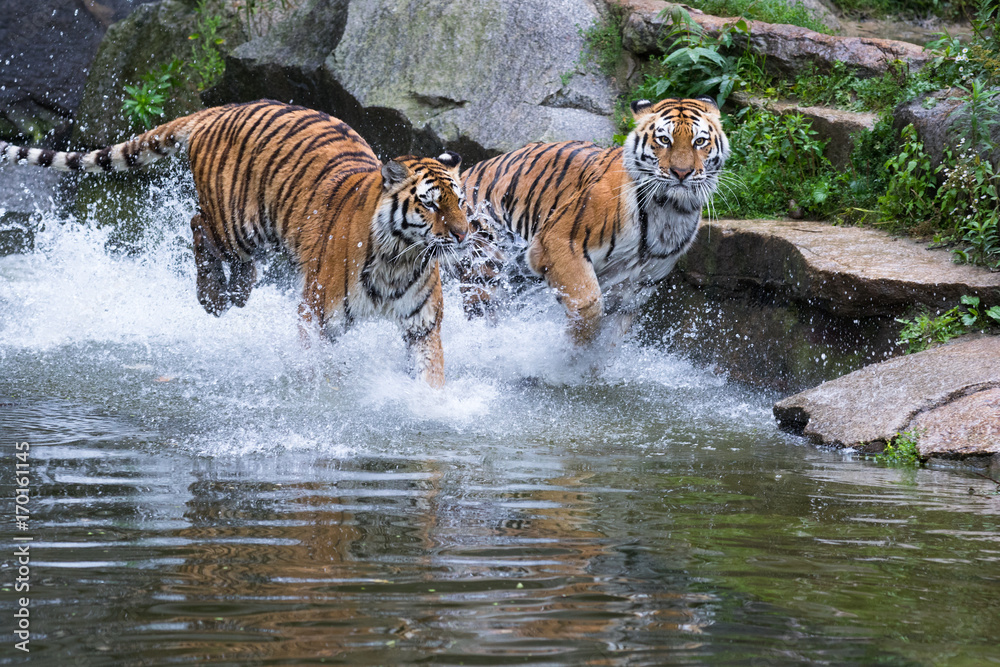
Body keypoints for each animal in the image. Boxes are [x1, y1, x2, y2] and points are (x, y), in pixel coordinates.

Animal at [0, 101, 468, 388]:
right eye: (430, 205)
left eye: (461, 202)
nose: (464, 234)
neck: (400, 257)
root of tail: (221, 108)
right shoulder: (316, 315)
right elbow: (313, 363)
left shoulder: (422, 325)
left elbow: (430, 373)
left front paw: (428, 404)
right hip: (234, 222)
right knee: (198, 225)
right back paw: (213, 296)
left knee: (239, 260)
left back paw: (238, 293)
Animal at [458, 96, 728, 348]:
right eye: (664, 140)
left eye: (700, 142)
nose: (681, 173)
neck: (670, 210)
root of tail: (468, 172)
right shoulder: (558, 241)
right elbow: (588, 305)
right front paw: (568, 351)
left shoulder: (637, 288)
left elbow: (609, 343)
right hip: (484, 264)